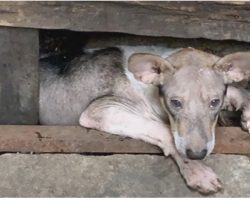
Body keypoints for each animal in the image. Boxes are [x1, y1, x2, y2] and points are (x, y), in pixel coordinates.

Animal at [39, 46, 250, 194]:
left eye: (215, 102)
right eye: (175, 102)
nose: (197, 155)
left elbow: (238, 90)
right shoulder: (102, 109)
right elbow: (162, 129)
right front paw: (198, 172)